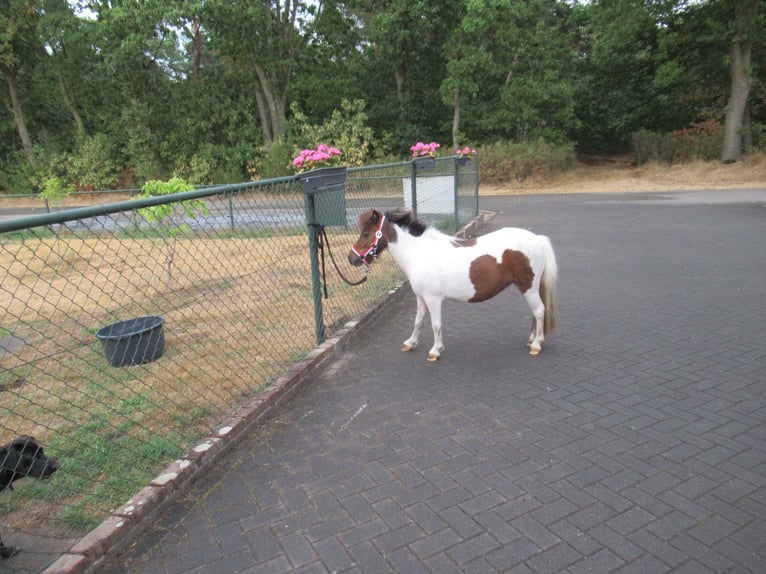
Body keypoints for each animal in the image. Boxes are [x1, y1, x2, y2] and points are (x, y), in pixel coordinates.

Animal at [348, 208, 559, 361]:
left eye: (366, 233)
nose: (352, 258)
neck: (419, 253)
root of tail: (536, 239)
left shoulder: (433, 300)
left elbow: (435, 324)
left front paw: (435, 350)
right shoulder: (421, 298)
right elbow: (418, 321)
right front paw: (411, 343)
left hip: (529, 288)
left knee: (539, 311)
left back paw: (536, 345)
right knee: (536, 312)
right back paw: (534, 339)